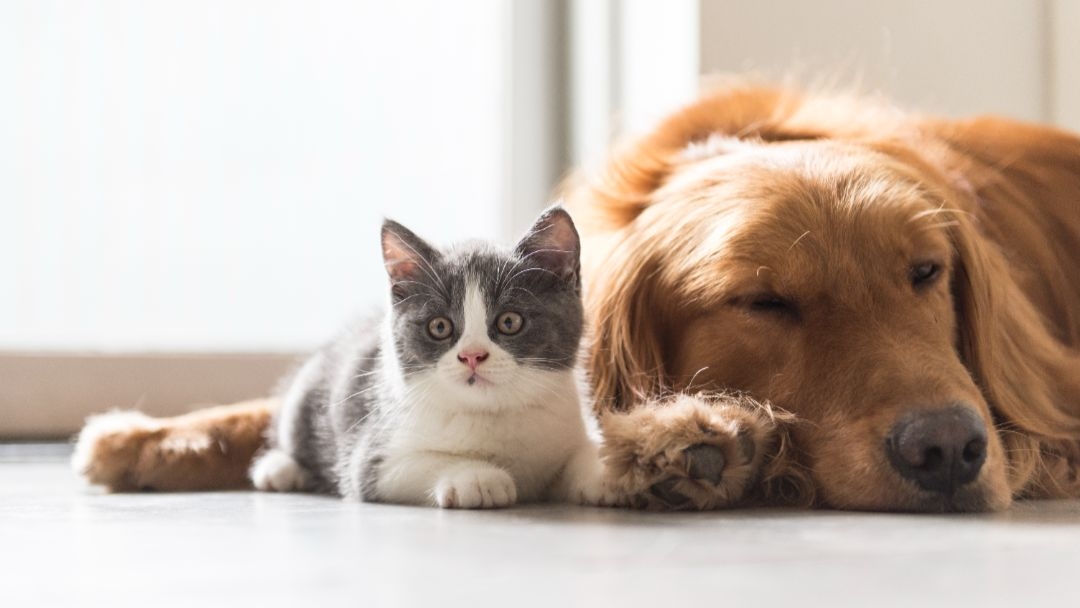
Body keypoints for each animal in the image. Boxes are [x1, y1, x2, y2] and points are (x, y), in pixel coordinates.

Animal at [247, 207, 613, 507]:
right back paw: (278, 470)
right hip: (305, 396)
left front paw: (607, 471)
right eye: (439, 326)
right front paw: (477, 477)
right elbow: (421, 461)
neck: (492, 412)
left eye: (510, 322)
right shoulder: (372, 458)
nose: (472, 355)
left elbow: (581, 451)